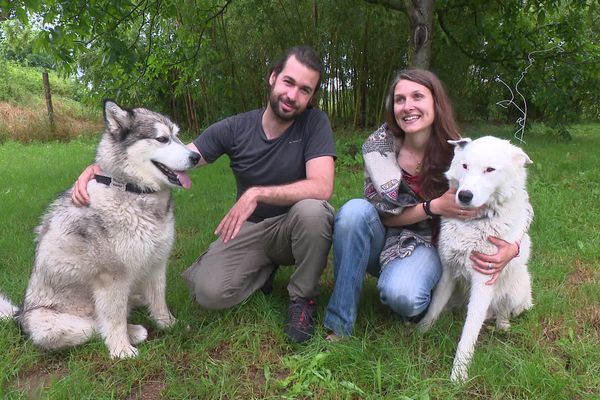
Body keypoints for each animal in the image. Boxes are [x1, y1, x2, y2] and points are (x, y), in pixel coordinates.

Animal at [0, 101, 202, 358]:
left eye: (177, 135)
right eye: (162, 139)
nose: (196, 156)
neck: (133, 190)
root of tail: (20, 315)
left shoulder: (157, 263)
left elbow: (159, 301)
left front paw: (169, 324)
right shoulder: (112, 277)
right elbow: (114, 318)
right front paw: (121, 349)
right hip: (53, 326)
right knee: (96, 325)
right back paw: (134, 332)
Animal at [418, 137, 536, 382]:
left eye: (489, 170)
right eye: (465, 166)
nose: (464, 195)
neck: (474, 223)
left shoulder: (483, 282)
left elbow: (469, 332)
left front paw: (459, 374)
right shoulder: (448, 272)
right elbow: (433, 309)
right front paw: (420, 332)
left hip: (515, 289)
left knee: (504, 310)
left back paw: (503, 326)